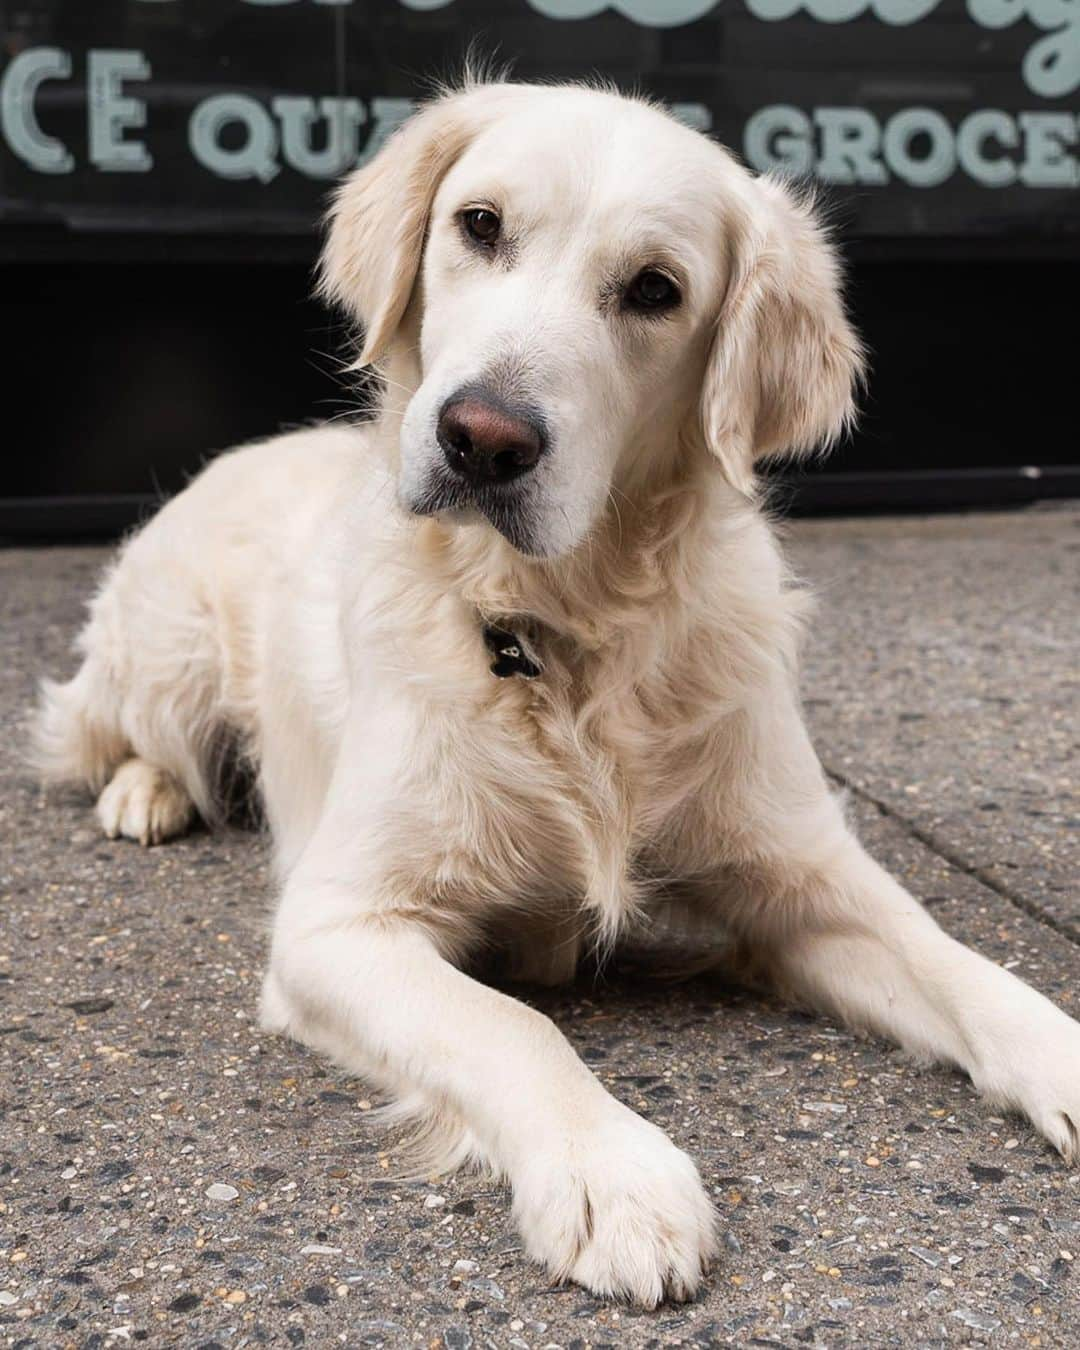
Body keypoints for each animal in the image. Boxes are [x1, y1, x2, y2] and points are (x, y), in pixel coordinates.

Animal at [33, 76, 1080, 1306]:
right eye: (479, 224)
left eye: (656, 290)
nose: (481, 439)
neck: (568, 635)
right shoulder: (337, 925)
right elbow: (509, 1026)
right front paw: (612, 1174)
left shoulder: (803, 876)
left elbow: (969, 969)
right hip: (168, 650)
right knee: (107, 733)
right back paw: (145, 794)